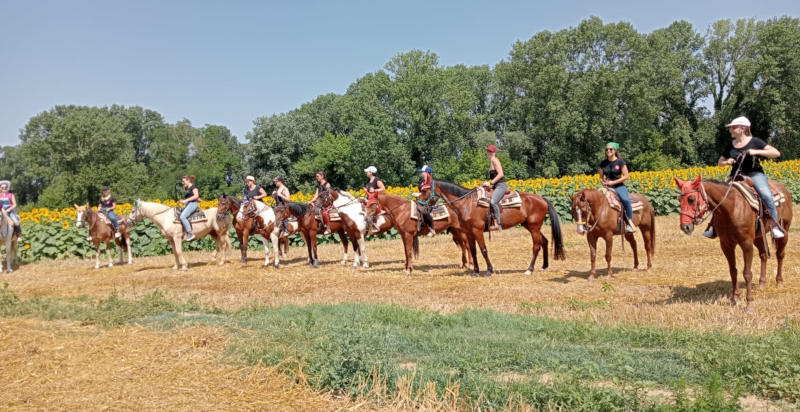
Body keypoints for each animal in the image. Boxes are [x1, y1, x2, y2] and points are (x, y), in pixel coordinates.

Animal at [433, 180, 565, 276]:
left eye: (427, 188)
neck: (468, 204)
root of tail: (542, 198)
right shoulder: (469, 232)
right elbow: (474, 251)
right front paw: (475, 271)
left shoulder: (477, 231)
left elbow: (483, 250)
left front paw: (489, 270)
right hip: (531, 226)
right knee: (545, 241)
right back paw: (544, 266)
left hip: (534, 228)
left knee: (536, 247)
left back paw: (529, 269)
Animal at [674, 175, 792, 309]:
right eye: (679, 199)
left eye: (691, 199)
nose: (685, 227)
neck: (731, 208)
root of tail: (783, 189)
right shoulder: (726, 244)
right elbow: (733, 271)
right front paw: (735, 298)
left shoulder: (746, 243)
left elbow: (747, 273)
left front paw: (749, 303)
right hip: (758, 237)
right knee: (763, 255)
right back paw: (762, 283)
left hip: (784, 231)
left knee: (780, 255)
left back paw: (779, 282)